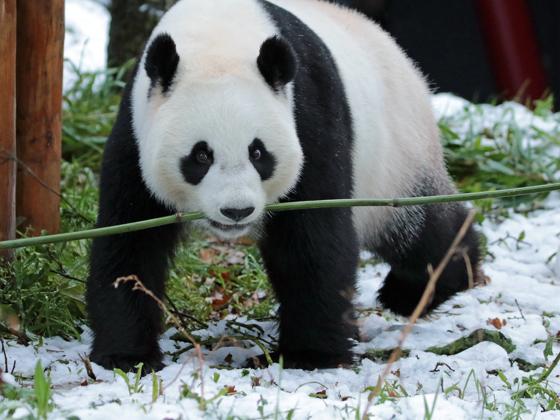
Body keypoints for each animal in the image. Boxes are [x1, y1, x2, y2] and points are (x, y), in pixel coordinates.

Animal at [87, 0, 482, 370]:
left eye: (258, 152)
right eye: (201, 156)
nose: (237, 210)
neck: (217, 37)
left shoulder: (308, 116)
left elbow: (312, 239)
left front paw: (311, 355)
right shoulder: (135, 132)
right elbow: (129, 241)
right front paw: (126, 355)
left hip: (394, 153)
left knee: (416, 226)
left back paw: (421, 286)